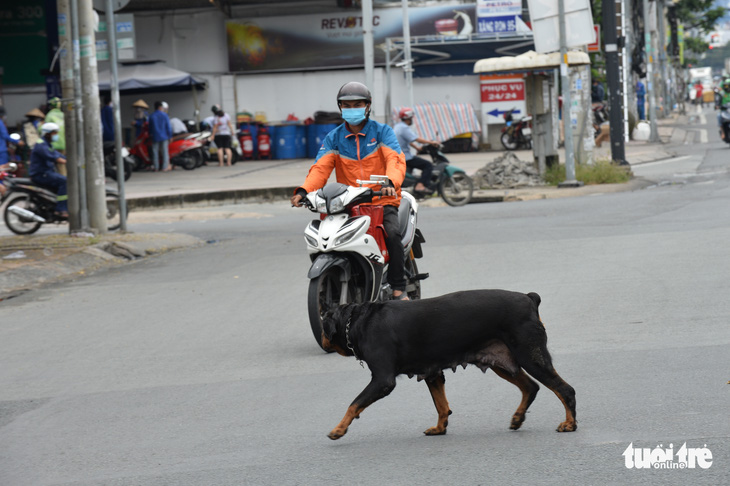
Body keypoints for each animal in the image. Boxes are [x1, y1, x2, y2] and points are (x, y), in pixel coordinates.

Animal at [322, 288, 576, 440]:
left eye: (324, 323)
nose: (322, 339)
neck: (358, 321)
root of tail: (529, 297)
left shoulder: (382, 380)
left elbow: (354, 404)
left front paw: (338, 429)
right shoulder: (432, 373)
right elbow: (442, 406)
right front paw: (440, 428)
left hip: (531, 356)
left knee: (565, 390)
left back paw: (569, 424)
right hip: (501, 361)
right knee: (531, 387)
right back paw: (518, 417)